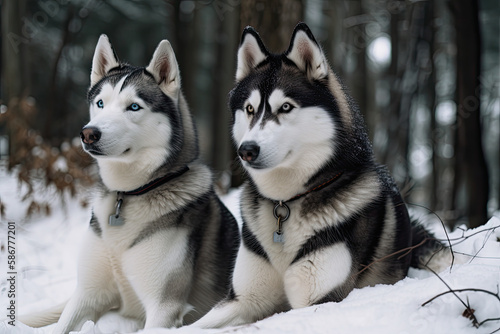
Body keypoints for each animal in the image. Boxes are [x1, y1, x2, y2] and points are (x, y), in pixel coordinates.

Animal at [22, 35, 241, 332]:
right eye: (100, 103)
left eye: (134, 107)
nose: (88, 134)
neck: (128, 193)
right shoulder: (88, 293)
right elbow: (64, 323)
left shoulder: (164, 307)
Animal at [192, 23, 442, 328]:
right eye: (249, 109)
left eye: (285, 107)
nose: (246, 151)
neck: (286, 202)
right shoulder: (242, 300)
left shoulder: (319, 301)